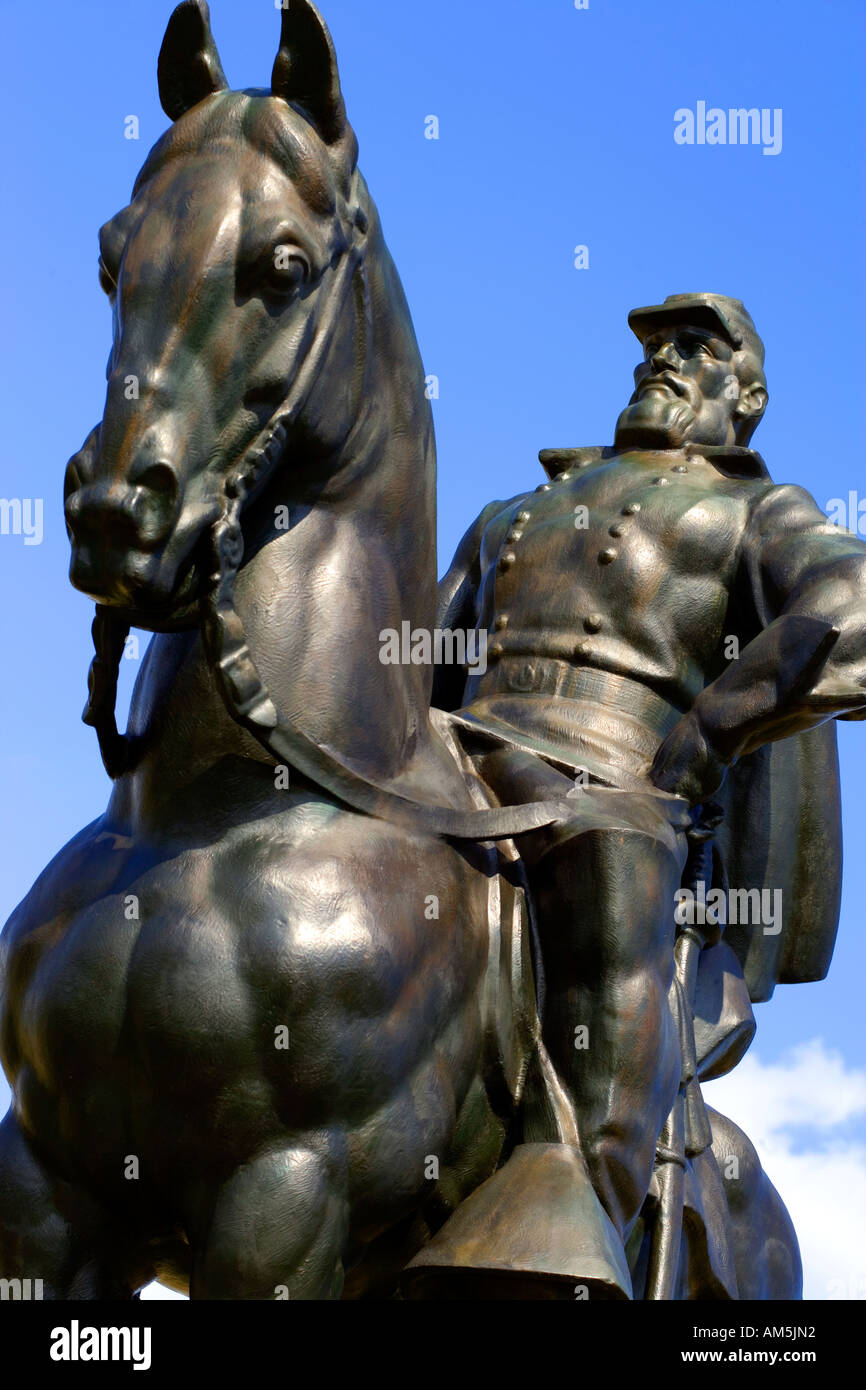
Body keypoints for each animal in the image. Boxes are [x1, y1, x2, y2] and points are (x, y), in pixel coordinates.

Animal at [0, 2, 800, 1301]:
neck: (213, 811)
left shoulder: (283, 1194)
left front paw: (691, 744)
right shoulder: (46, 1187)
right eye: (114, 256)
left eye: (282, 265)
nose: (122, 511)